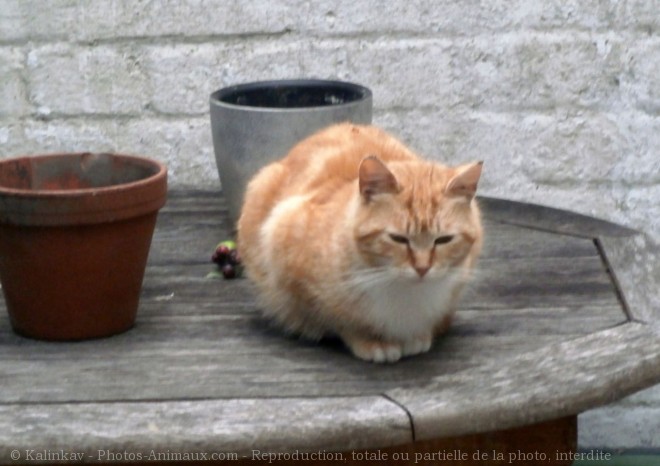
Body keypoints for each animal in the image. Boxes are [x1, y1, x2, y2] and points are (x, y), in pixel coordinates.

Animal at [236, 124, 480, 364]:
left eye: (444, 240)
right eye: (398, 238)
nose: (422, 268)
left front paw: (418, 334)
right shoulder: (282, 238)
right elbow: (336, 318)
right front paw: (370, 339)